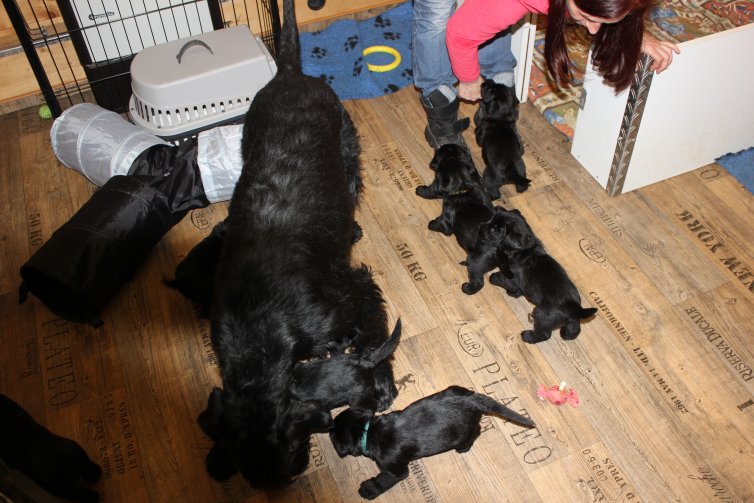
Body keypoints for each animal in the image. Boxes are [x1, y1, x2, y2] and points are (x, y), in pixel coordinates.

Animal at [200, 0, 400, 490]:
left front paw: (381, 380)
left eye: (289, 450)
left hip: (346, 147)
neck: (258, 328)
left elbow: (373, 331)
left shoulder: (347, 293)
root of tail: (289, 73)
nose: (281, 480)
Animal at [330, 386, 536, 500]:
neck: (369, 431)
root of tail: (471, 399)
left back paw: (464, 448)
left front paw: (367, 489)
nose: (329, 430)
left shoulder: (396, 469)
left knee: (476, 431)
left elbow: (383, 479)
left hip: (462, 433)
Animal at [478, 207, 596, 344]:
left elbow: (503, 279)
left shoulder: (511, 278)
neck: (522, 250)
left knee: (545, 334)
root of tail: (575, 308)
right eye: (490, 219)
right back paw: (566, 333)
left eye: (494, 230)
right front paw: (515, 294)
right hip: (571, 319)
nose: (479, 227)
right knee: (574, 328)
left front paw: (494, 278)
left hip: (541, 313)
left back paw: (528, 336)